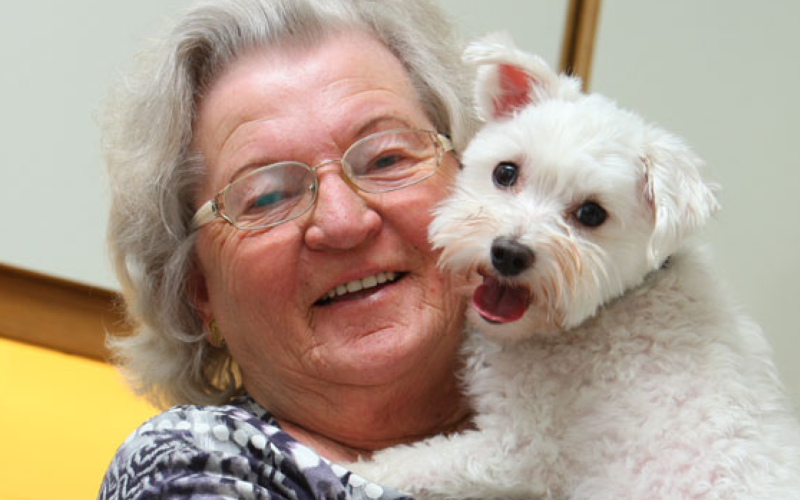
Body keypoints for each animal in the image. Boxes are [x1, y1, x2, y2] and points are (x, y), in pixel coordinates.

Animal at [354, 35, 800, 500]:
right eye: (505, 172)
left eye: (591, 213)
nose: (509, 253)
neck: (614, 306)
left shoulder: (519, 448)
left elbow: (419, 462)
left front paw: (366, 468)